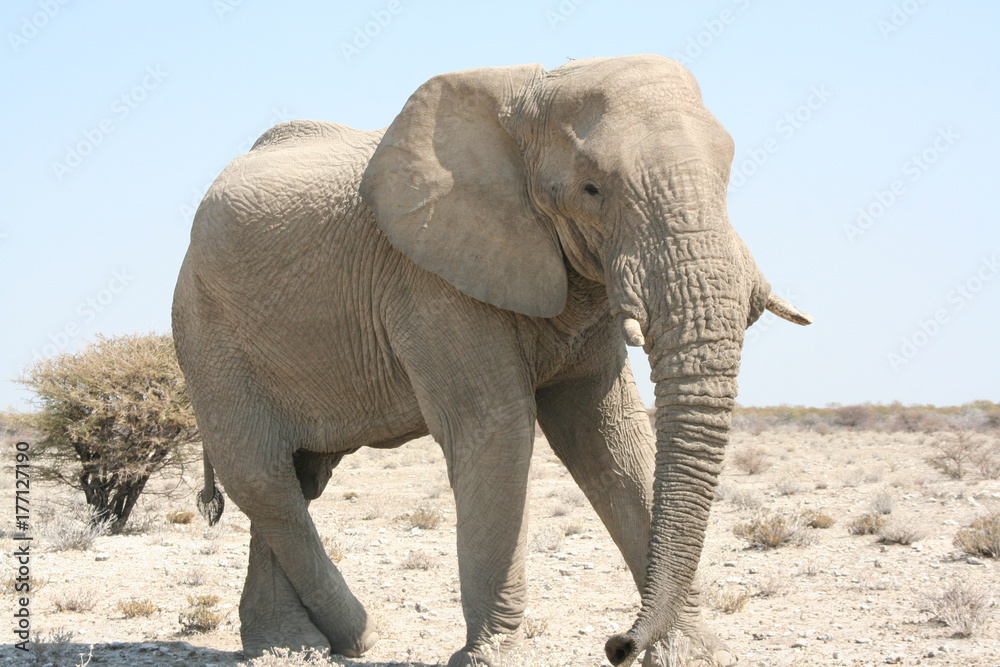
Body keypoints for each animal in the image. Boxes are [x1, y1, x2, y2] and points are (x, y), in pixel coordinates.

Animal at [172, 55, 811, 667]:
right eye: (591, 189)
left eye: (726, 174)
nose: (617, 645)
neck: (525, 103)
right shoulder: (431, 278)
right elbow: (496, 430)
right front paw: (487, 657)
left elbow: (607, 434)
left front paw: (691, 653)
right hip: (207, 332)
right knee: (263, 478)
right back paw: (356, 637)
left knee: (299, 478)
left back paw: (286, 648)